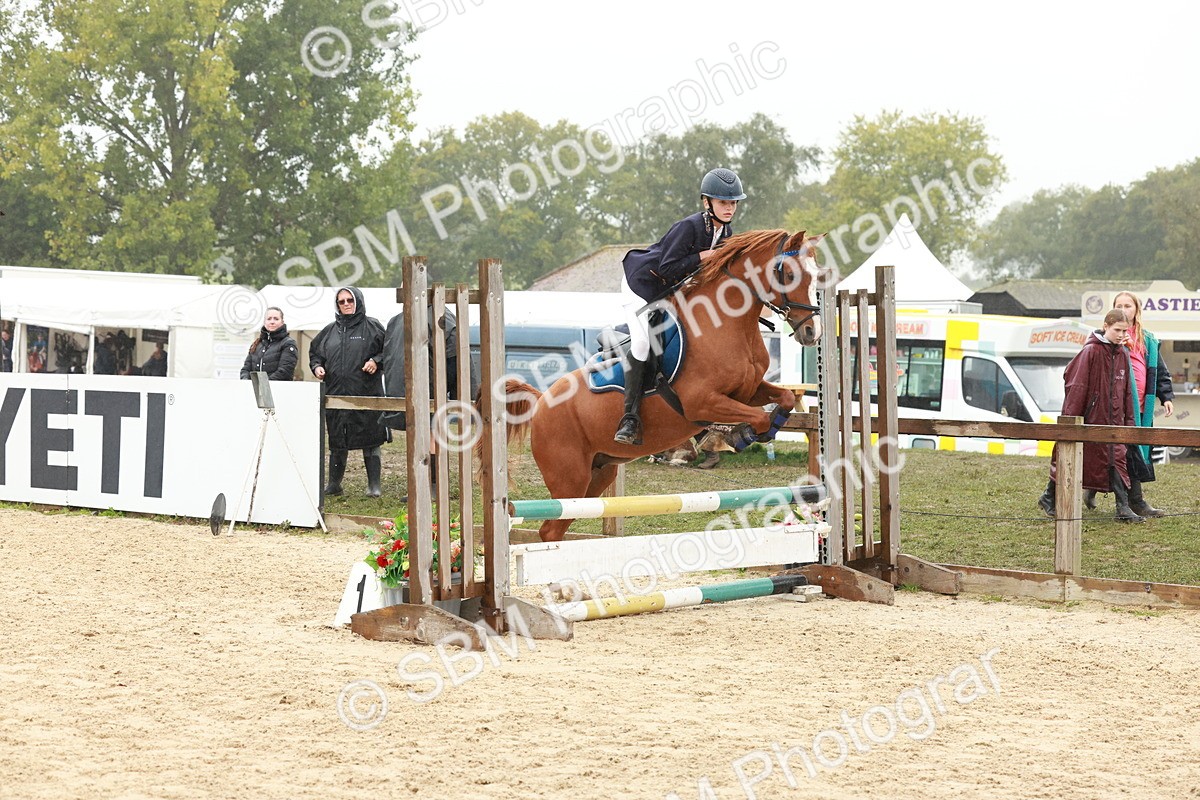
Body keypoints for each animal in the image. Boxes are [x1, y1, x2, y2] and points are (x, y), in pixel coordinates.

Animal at [495, 229, 826, 542]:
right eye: (791, 274)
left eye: (818, 275)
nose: (812, 333)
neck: (728, 325)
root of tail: (541, 400)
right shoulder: (701, 402)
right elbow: (756, 417)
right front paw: (740, 436)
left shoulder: (748, 390)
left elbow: (783, 399)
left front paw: (758, 430)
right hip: (569, 477)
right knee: (549, 529)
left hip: (597, 474)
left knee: (555, 529)